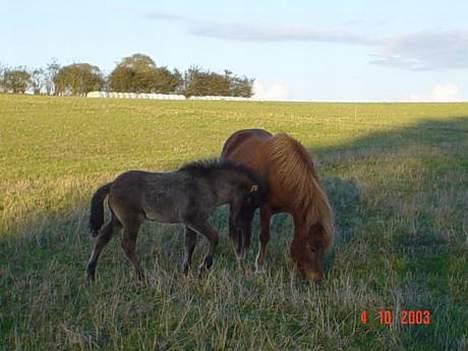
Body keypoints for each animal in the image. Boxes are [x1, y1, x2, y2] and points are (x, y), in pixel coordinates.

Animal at [221, 129, 334, 284]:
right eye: (312, 248)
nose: (316, 279)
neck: (282, 175)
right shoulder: (265, 208)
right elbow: (264, 237)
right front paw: (259, 268)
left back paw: (243, 252)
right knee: (234, 223)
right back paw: (237, 251)